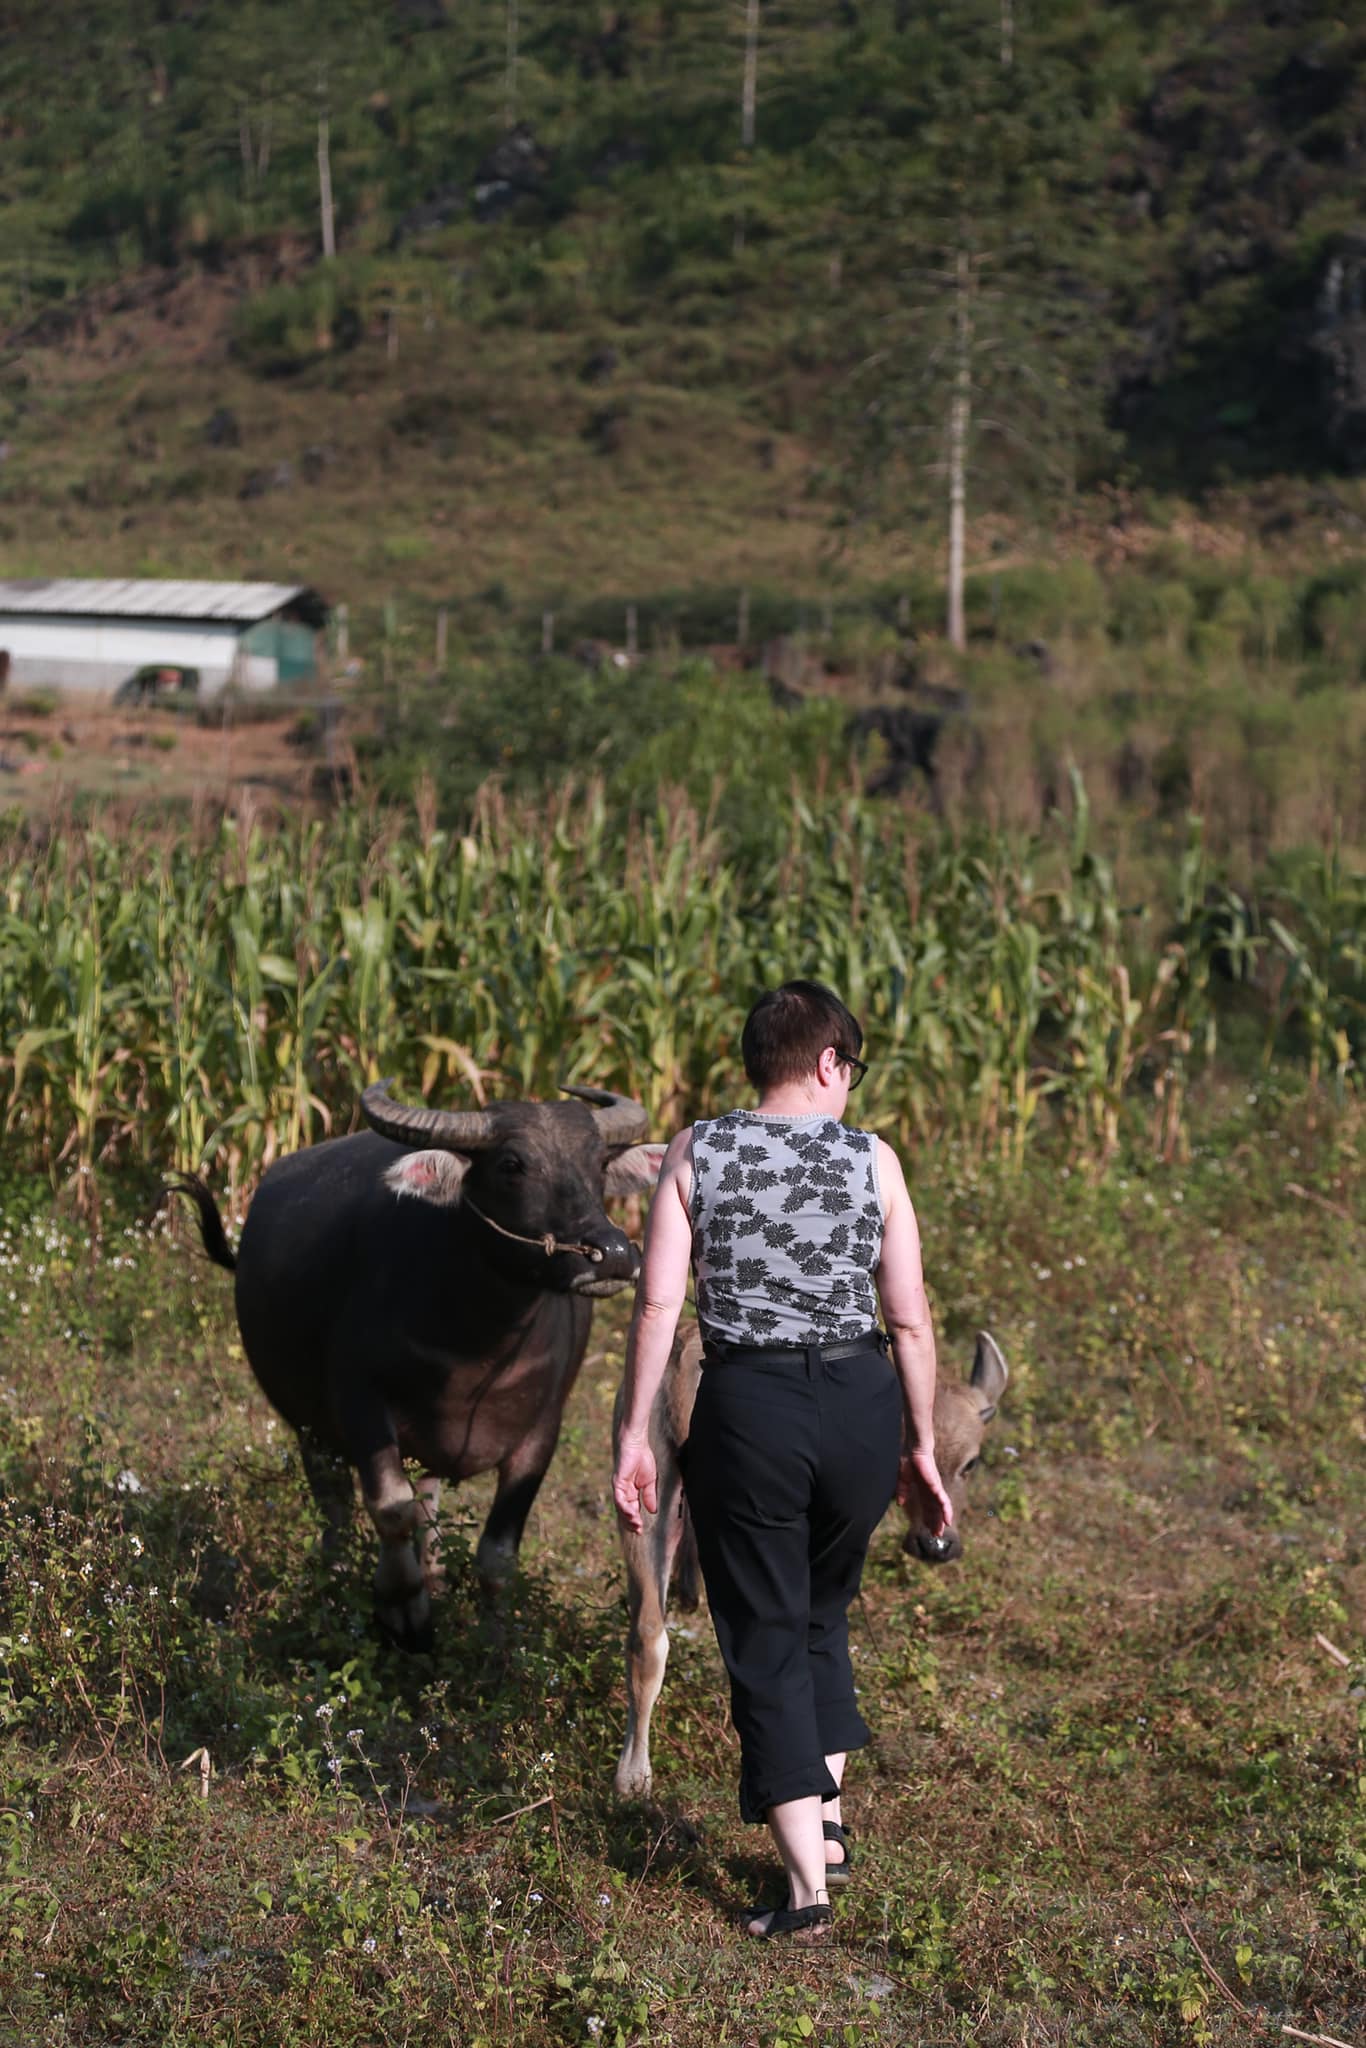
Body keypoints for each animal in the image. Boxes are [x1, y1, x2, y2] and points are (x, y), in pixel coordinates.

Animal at [172, 1089, 667, 1646]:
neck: (475, 1346)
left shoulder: (541, 1433)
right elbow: (391, 1508)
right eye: (511, 1165)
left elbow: (496, 1555)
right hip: (308, 1429)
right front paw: (402, 1608)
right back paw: (340, 1585)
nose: (614, 1254)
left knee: (426, 1501)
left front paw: (493, 1641)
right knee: (336, 1511)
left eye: (597, 1163)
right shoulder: (360, 1401)